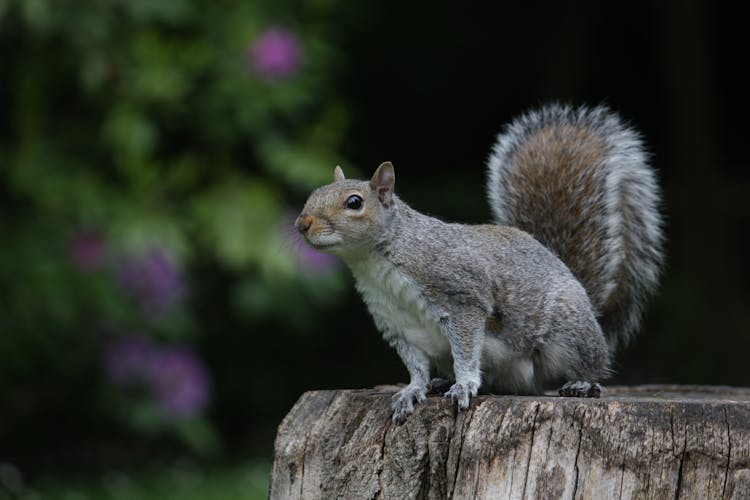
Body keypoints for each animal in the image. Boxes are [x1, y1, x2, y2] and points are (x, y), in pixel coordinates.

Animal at [296, 103, 668, 424]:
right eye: (314, 193)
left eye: (354, 202)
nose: (302, 223)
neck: (375, 261)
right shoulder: (397, 324)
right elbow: (416, 366)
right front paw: (413, 390)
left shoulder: (463, 297)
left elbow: (466, 349)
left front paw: (463, 384)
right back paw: (442, 383)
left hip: (567, 333)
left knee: (589, 364)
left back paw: (582, 383)